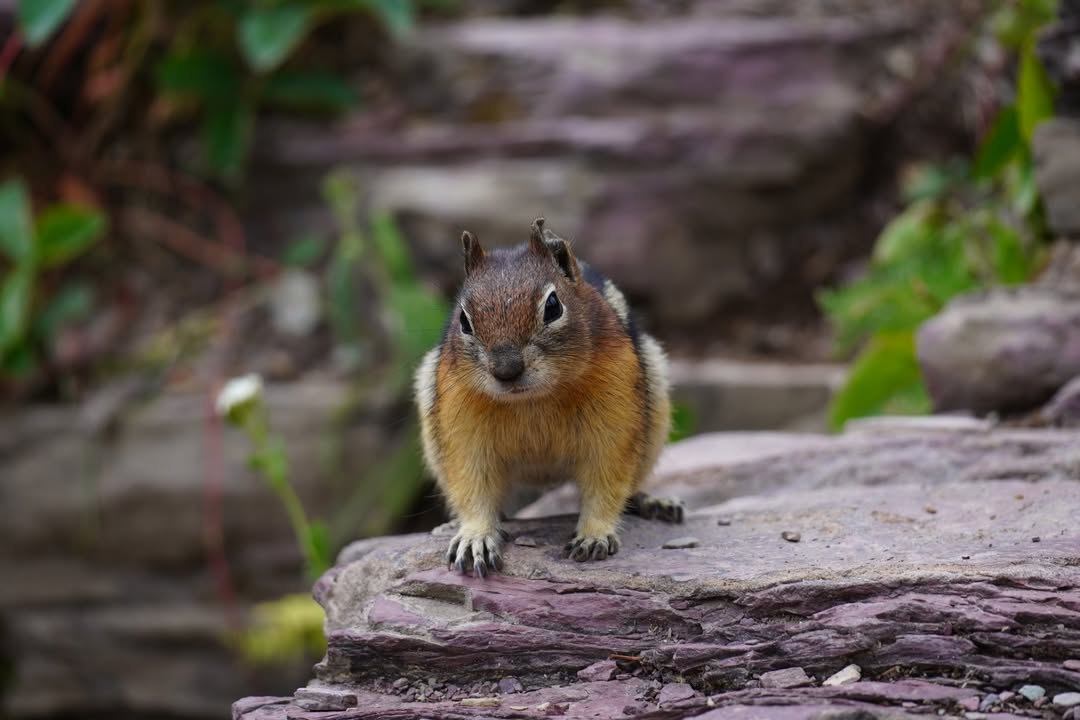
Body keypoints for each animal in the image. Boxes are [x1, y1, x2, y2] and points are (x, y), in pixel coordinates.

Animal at [414, 218, 683, 577]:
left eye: (553, 306)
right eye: (463, 320)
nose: (507, 369)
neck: (532, 401)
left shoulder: (615, 421)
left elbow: (607, 480)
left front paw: (594, 534)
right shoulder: (461, 427)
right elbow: (472, 485)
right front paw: (475, 536)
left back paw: (654, 502)